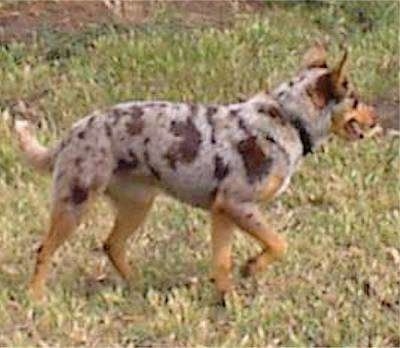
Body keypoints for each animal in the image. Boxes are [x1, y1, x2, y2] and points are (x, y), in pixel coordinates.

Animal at [14, 44, 378, 300]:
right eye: (355, 99)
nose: (377, 120)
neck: (289, 118)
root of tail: (70, 134)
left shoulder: (223, 212)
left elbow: (222, 262)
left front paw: (229, 300)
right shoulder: (238, 205)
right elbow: (279, 244)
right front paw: (251, 269)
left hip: (137, 205)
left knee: (111, 245)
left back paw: (139, 286)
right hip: (75, 202)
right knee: (45, 250)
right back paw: (36, 297)